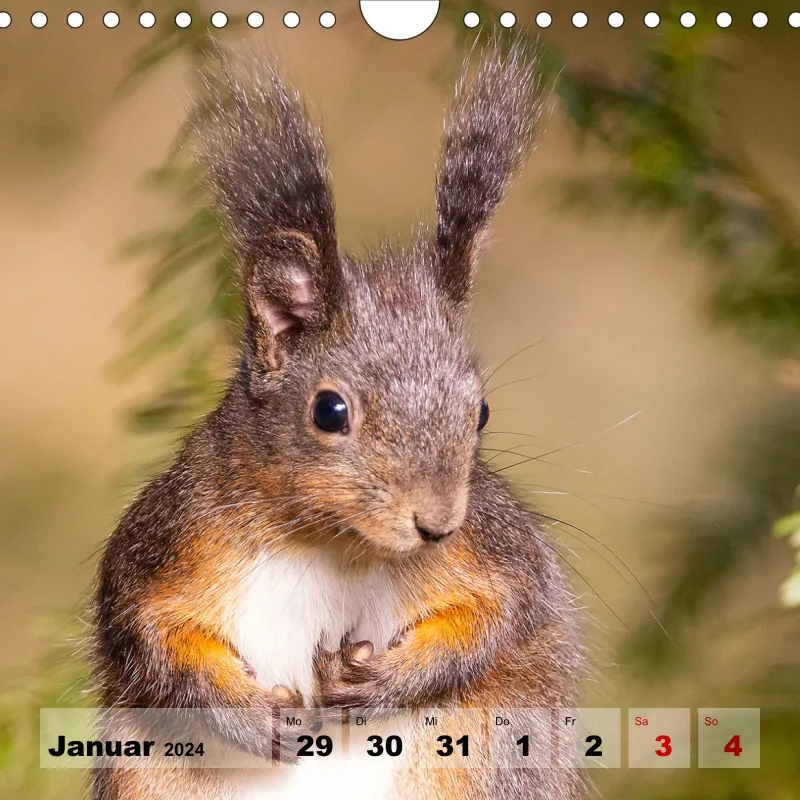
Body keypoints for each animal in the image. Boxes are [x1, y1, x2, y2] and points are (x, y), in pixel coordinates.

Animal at [91, 37, 583, 800]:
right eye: (330, 411)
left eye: (480, 411)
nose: (437, 523)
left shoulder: (498, 549)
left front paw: (383, 680)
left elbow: (502, 613)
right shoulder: (169, 539)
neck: (334, 543)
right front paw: (255, 717)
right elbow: (154, 639)